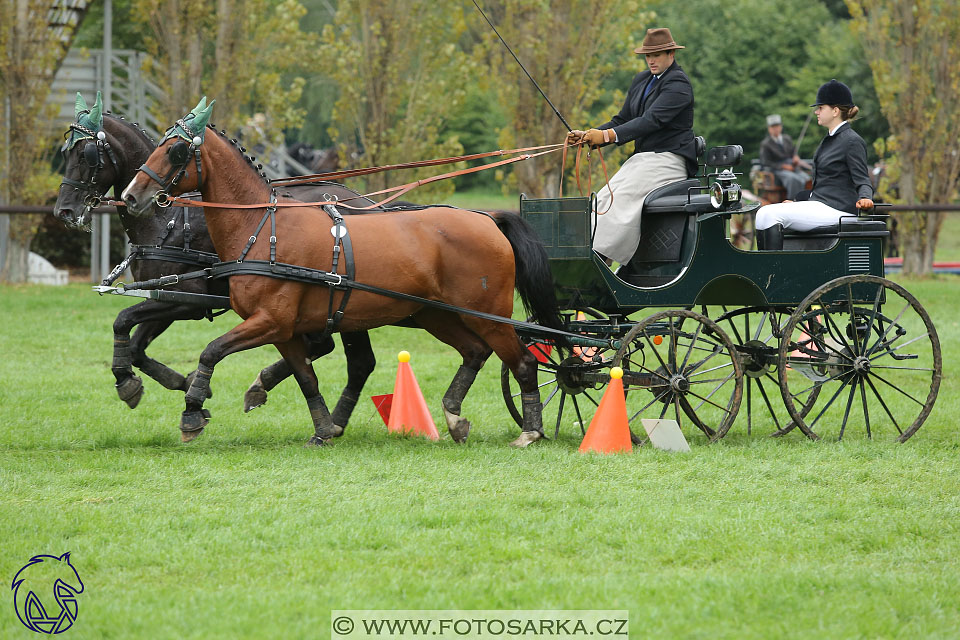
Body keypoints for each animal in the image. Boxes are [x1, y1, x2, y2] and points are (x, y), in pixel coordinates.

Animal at [54, 91, 378, 430]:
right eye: (65, 152)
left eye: (87, 155)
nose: (63, 211)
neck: (166, 220)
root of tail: (366, 202)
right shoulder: (164, 297)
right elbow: (135, 346)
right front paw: (180, 383)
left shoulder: (186, 301)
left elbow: (123, 321)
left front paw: (139, 384)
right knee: (332, 350)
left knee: (349, 358)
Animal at [123, 102, 568, 448]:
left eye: (177, 150)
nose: (130, 196)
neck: (263, 229)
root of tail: (487, 218)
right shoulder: (284, 330)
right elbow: (306, 378)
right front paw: (324, 428)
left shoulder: (269, 321)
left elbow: (211, 351)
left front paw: (192, 410)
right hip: (434, 314)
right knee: (474, 352)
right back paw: (455, 417)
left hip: (488, 315)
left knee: (523, 363)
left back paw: (530, 431)